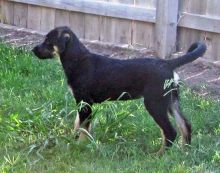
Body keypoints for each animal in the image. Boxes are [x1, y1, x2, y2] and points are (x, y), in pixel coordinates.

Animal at [32, 26, 206, 153]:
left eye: (48, 41)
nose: (33, 50)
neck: (78, 60)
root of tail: (168, 64)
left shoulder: (85, 102)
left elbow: (83, 128)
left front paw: (80, 146)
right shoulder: (81, 103)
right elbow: (78, 124)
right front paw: (75, 141)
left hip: (155, 103)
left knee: (170, 131)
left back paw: (160, 154)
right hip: (171, 101)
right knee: (185, 124)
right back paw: (185, 150)